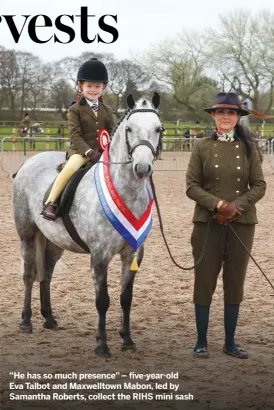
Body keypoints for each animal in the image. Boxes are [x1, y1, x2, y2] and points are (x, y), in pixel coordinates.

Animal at [12, 93, 163, 356]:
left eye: (158, 129)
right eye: (130, 129)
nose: (142, 168)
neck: (125, 193)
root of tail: (29, 162)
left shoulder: (132, 253)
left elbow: (126, 298)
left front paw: (127, 340)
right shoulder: (100, 256)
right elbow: (103, 301)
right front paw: (102, 345)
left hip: (55, 243)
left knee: (46, 274)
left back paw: (49, 319)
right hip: (27, 234)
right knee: (29, 274)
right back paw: (26, 322)